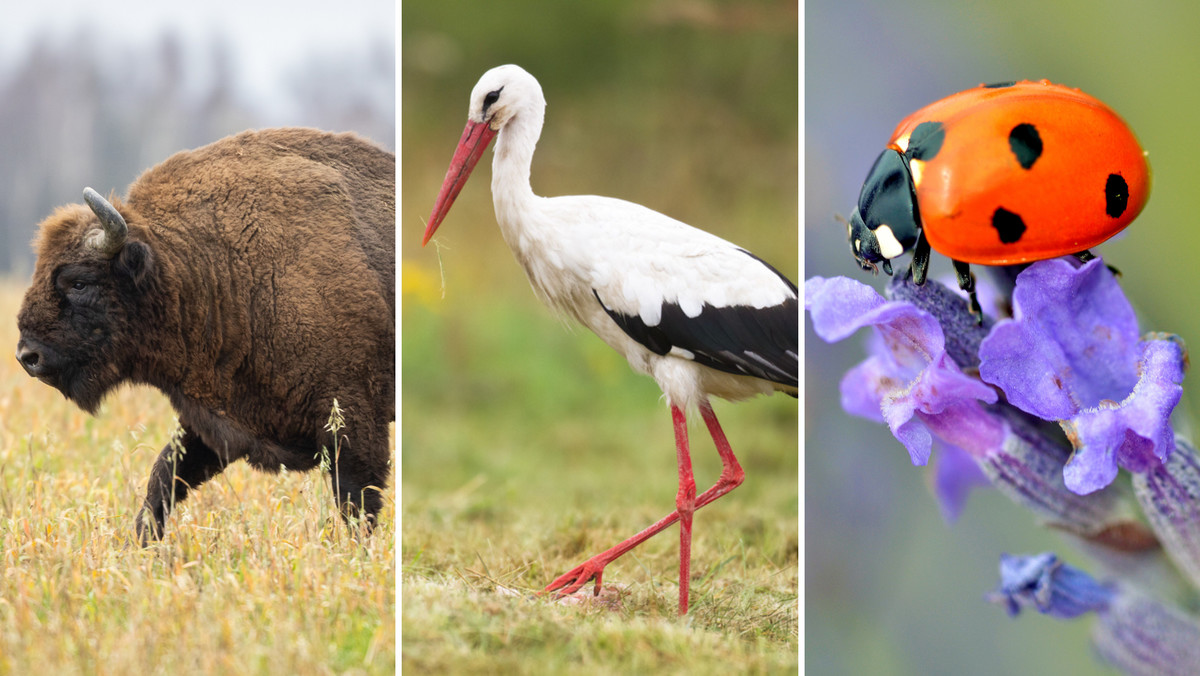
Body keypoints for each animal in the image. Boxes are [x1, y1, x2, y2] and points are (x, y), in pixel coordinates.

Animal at [14, 127, 393, 542]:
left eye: (79, 282)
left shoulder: (354, 422)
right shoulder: (215, 421)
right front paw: (141, 544)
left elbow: (357, 503)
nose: (28, 356)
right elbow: (165, 475)